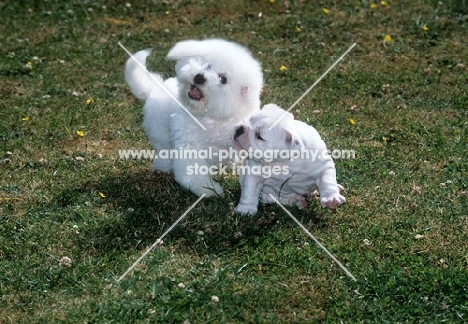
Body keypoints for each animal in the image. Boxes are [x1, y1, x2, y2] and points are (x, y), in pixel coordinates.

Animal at [124, 39, 264, 197]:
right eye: (207, 65)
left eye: (223, 79)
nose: (199, 77)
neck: (212, 117)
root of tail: (154, 89)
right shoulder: (189, 147)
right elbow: (194, 172)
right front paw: (208, 189)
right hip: (160, 132)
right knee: (163, 150)